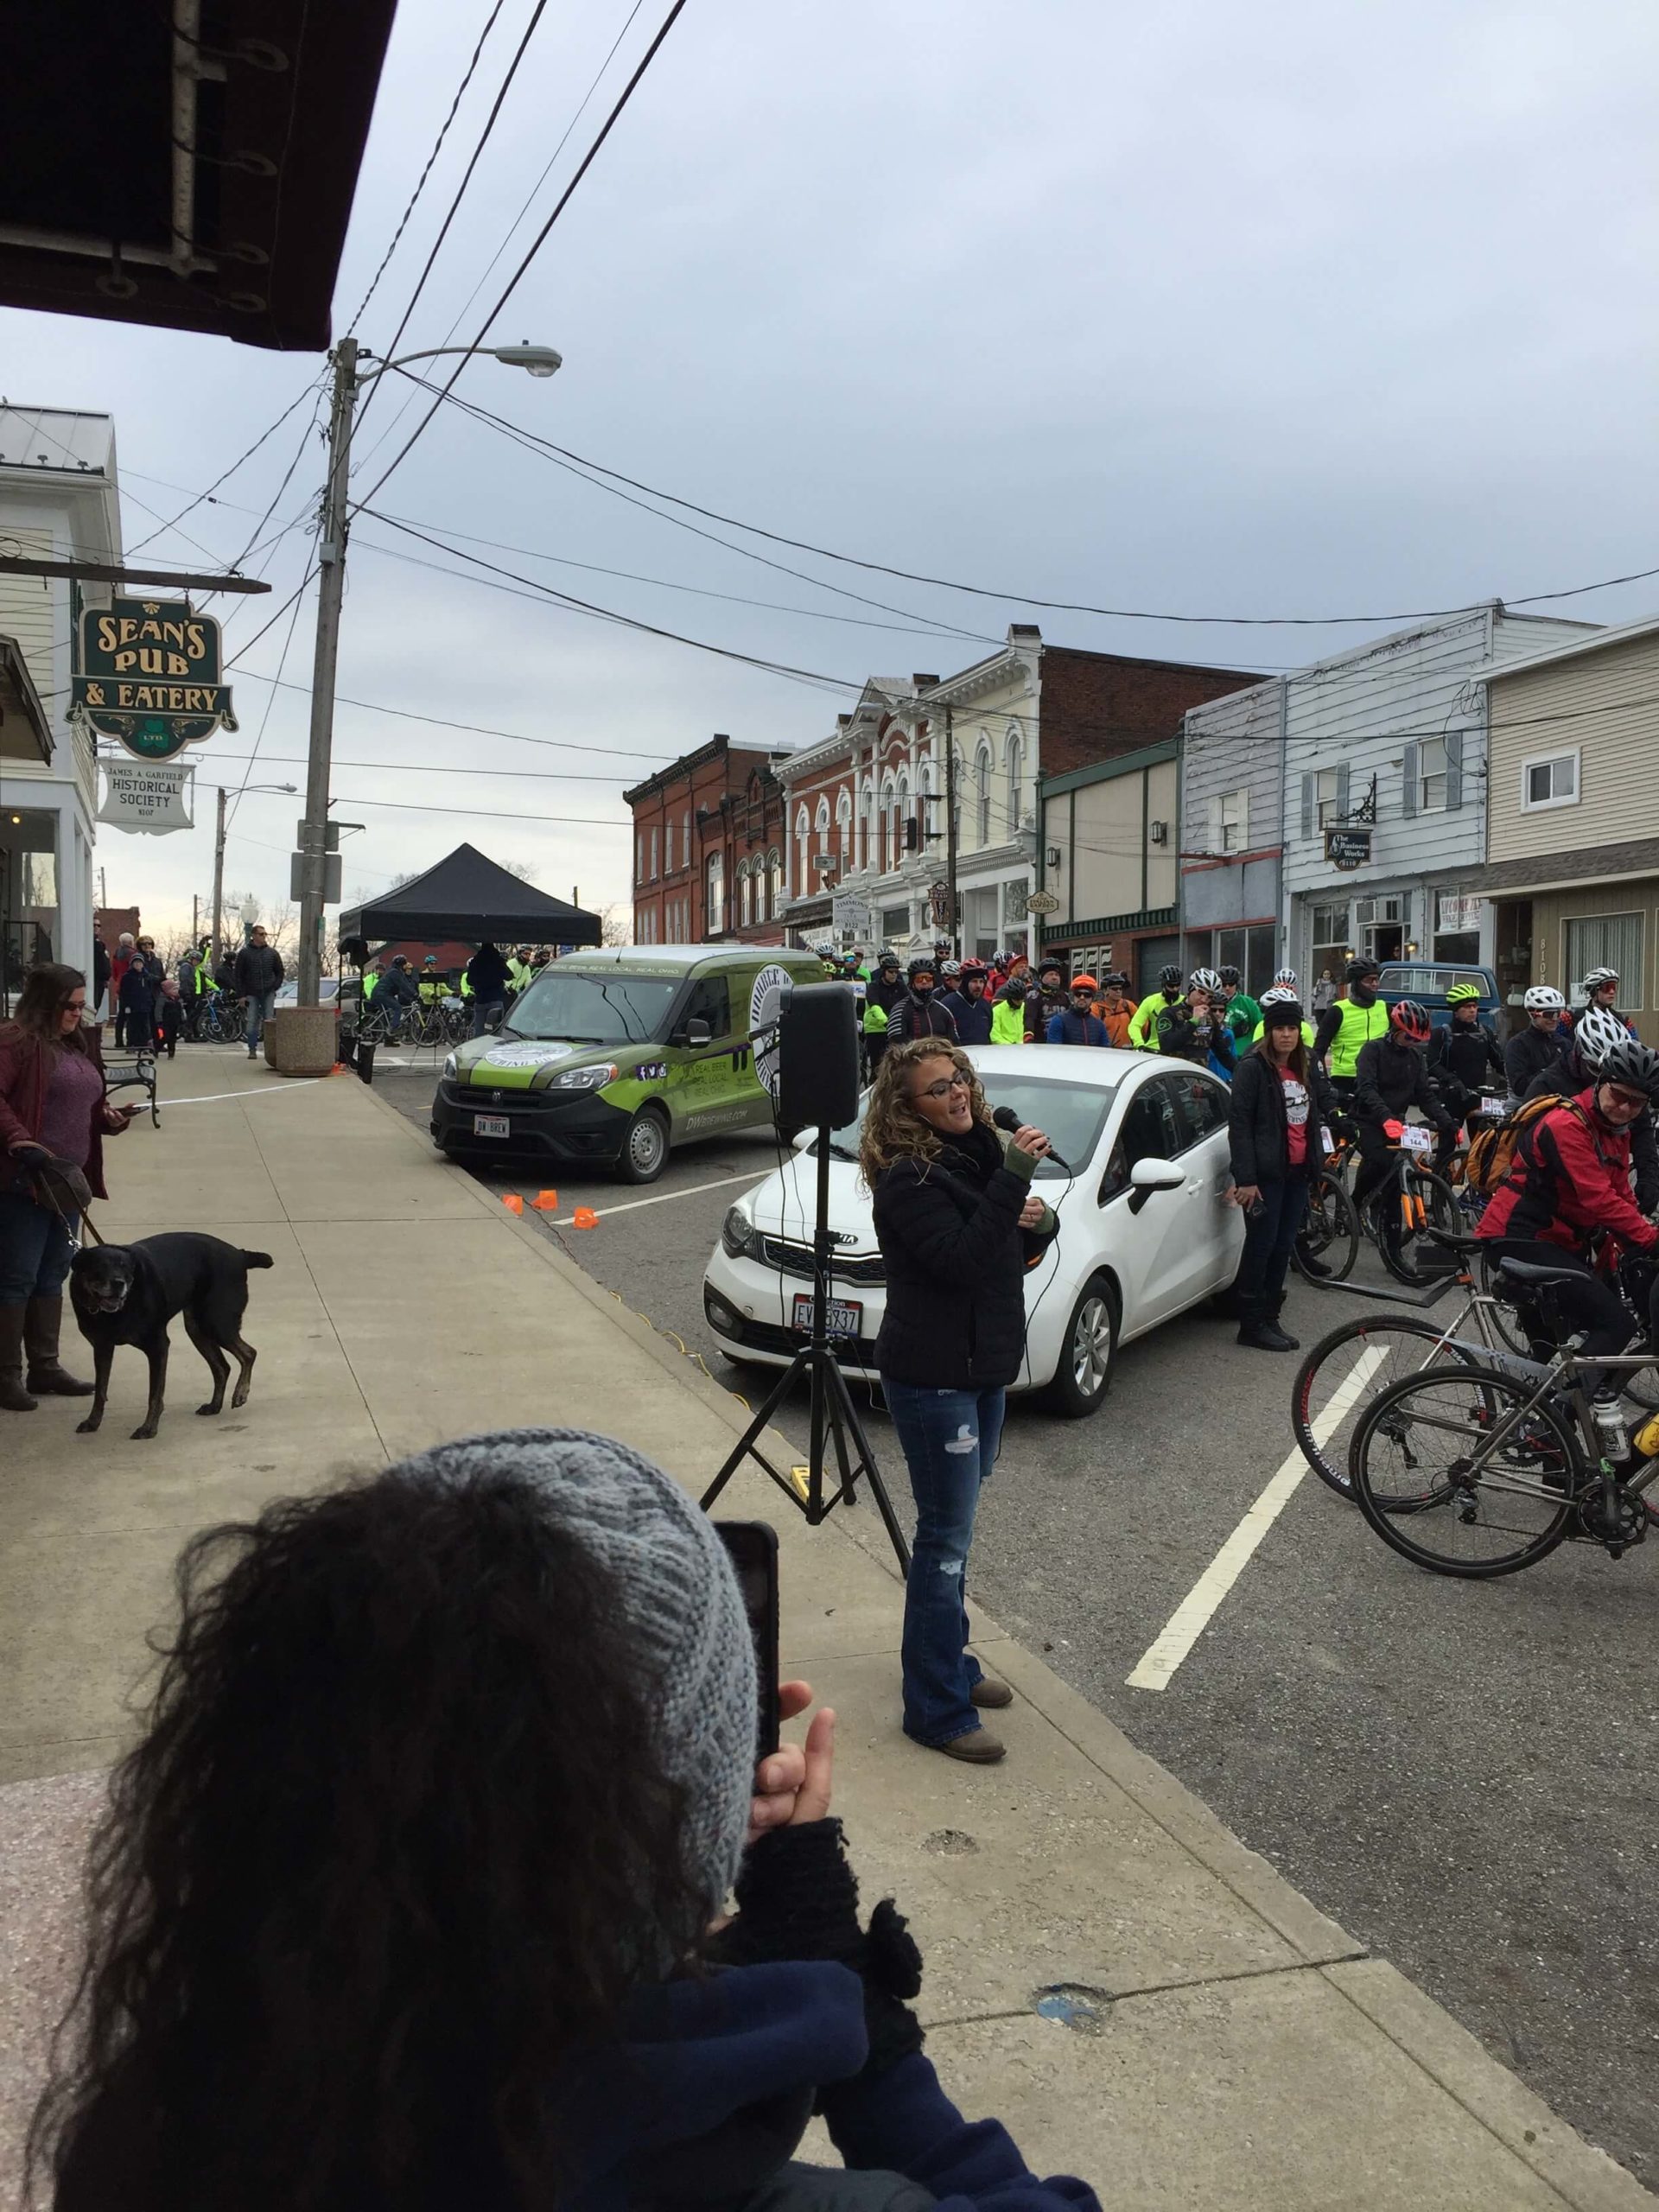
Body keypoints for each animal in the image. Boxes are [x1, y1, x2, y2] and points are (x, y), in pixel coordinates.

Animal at [70, 1238, 274, 1442]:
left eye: (125, 1267)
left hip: (216, 1322)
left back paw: (240, 1393)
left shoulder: (158, 1346)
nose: (119, 1283)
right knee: (222, 1367)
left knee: (249, 1353)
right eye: (100, 1266)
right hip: (197, 1327)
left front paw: (149, 1428)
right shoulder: (102, 1347)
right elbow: (100, 1390)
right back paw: (214, 1406)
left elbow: (154, 1395)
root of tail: (240, 1255)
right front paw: (93, 1422)